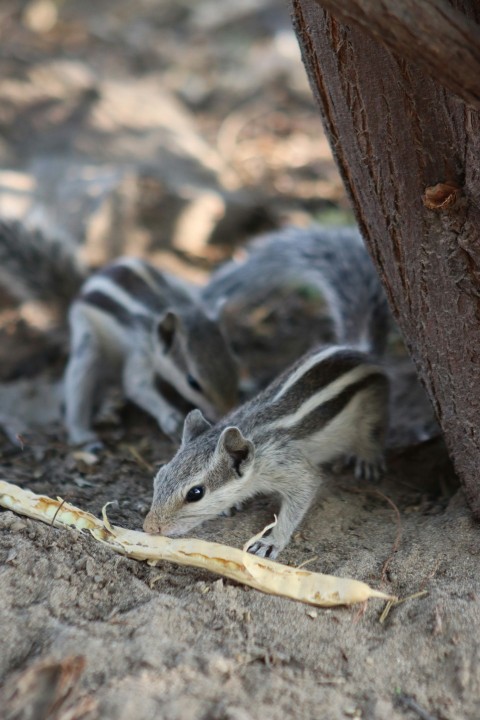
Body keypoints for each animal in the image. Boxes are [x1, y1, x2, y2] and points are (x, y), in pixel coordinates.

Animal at [0, 219, 238, 444]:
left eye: (232, 361)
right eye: (193, 383)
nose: (226, 412)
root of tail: (82, 288)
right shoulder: (142, 351)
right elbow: (135, 386)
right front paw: (170, 417)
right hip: (86, 337)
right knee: (80, 382)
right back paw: (81, 434)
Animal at [144, 346, 388, 560]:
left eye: (195, 493)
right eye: (159, 476)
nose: (149, 527)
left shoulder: (290, 467)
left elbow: (299, 498)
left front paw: (271, 542)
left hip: (371, 412)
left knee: (369, 436)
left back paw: (367, 458)